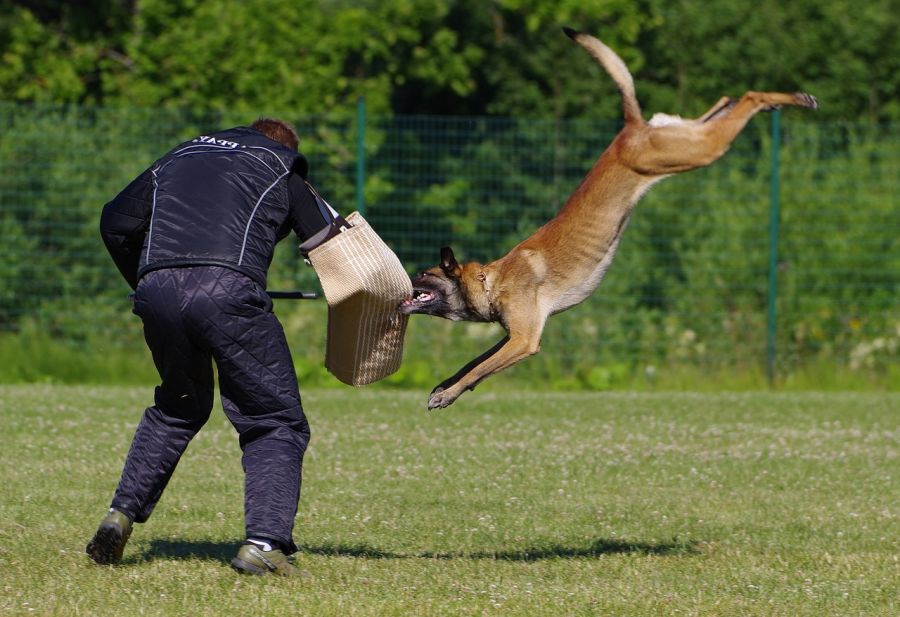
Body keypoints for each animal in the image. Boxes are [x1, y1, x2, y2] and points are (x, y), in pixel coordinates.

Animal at [400, 27, 816, 410]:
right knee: (725, 101)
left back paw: (795, 98)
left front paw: (448, 394)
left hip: (694, 151)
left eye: (421, 274)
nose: (400, 283)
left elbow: (479, 368)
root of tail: (630, 129)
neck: (491, 280)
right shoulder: (514, 334)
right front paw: (445, 385)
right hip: (684, 137)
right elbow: (474, 362)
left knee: (748, 97)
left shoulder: (523, 340)